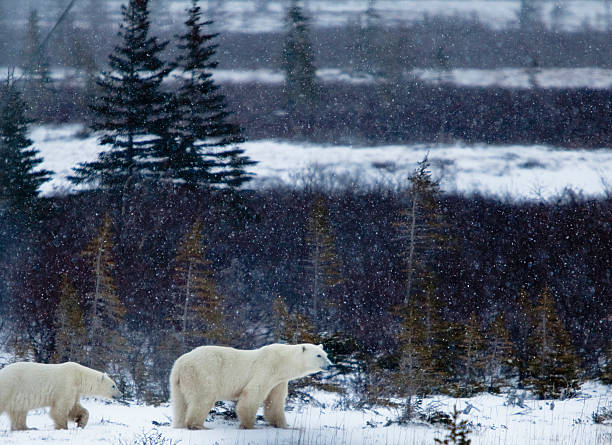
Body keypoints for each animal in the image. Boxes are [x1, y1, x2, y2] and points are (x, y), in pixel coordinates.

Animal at [170, 342, 332, 428]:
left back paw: (180, 424)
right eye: (318, 355)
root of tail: (180, 364)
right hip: (202, 373)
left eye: (326, 354)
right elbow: (252, 393)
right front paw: (248, 424)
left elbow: (275, 402)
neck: (283, 361)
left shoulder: (279, 381)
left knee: (180, 403)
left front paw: (282, 425)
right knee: (203, 398)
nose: (330, 365)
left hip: (178, 382)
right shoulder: (267, 368)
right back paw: (197, 425)